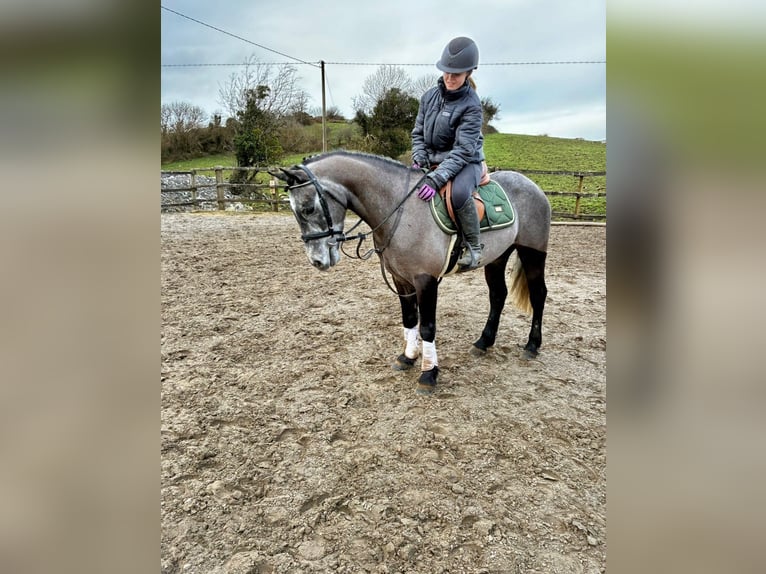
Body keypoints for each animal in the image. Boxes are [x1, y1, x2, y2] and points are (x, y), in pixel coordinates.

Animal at [270, 150, 550, 395]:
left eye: (308, 208)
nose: (317, 260)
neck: (399, 209)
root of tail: (533, 186)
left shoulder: (425, 280)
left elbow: (427, 326)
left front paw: (428, 374)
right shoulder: (401, 279)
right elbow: (409, 319)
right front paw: (408, 357)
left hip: (532, 254)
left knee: (538, 294)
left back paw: (532, 345)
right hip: (497, 258)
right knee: (498, 295)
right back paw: (484, 342)